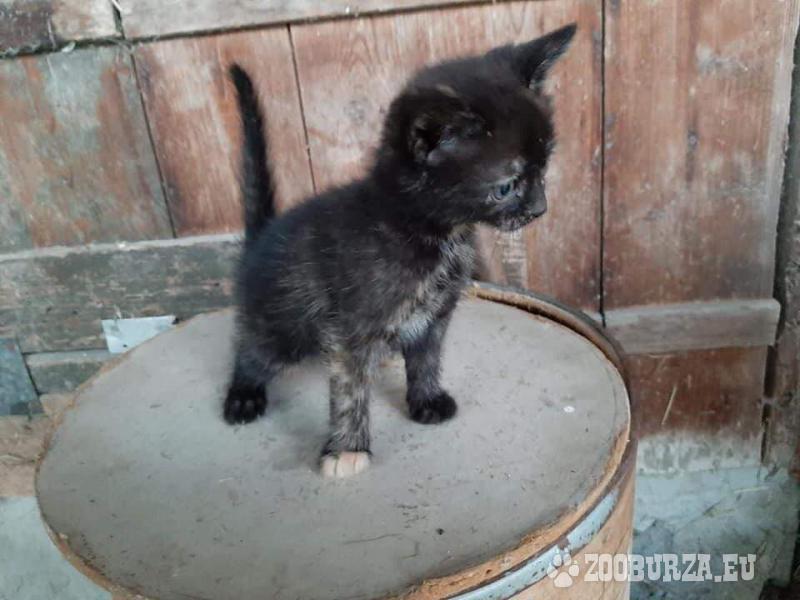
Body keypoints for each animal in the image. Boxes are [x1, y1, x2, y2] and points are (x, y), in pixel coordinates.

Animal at [225, 23, 576, 478]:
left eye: (543, 169)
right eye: (506, 186)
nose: (539, 208)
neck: (433, 234)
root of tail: (261, 238)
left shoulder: (435, 315)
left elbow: (426, 357)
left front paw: (426, 400)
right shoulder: (351, 328)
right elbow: (349, 388)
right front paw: (347, 450)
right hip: (283, 325)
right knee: (252, 348)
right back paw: (243, 394)